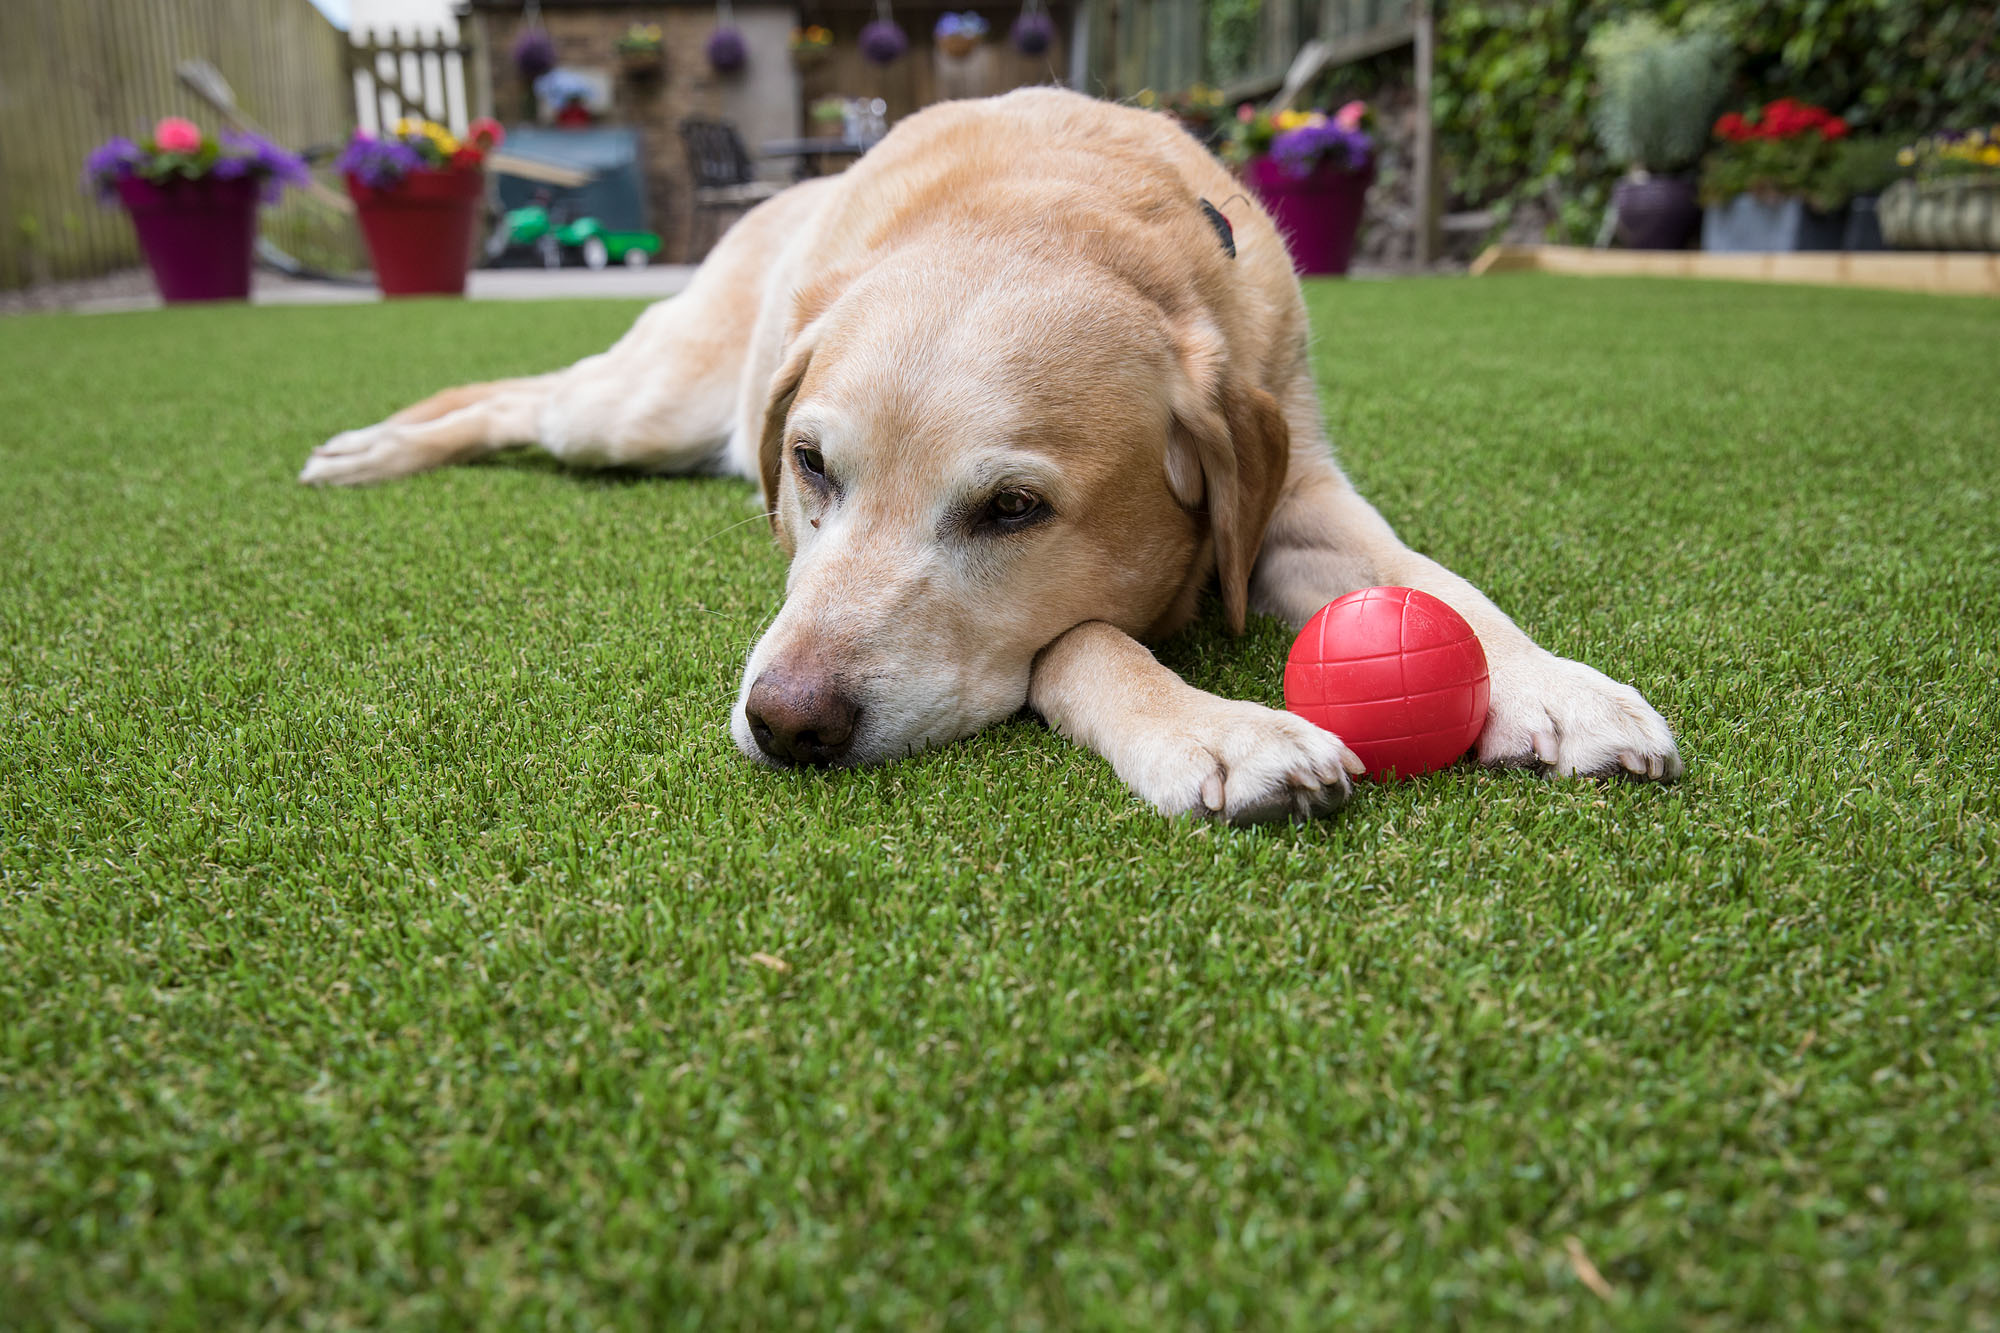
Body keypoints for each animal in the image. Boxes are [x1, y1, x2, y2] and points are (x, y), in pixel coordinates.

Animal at [304, 88, 1680, 820]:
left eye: (1011, 509)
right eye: (812, 466)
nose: (784, 724)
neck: (1057, 215)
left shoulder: (1297, 501)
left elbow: (1441, 587)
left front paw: (1558, 687)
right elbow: (1085, 641)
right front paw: (1219, 730)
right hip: (635, 411)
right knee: (513, 397)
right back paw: (370, 446)